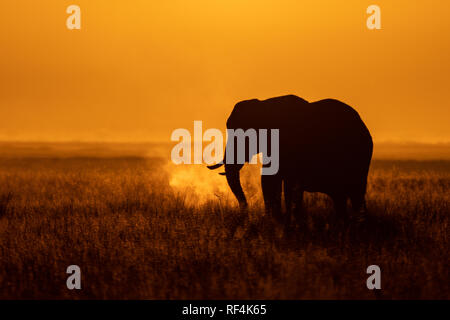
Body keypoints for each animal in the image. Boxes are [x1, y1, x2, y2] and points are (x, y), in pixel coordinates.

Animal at [207, 95, 372, 225]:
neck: (265, 106)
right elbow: (269, 180)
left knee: (355, 192)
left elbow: (285, 185)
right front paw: (278, 223)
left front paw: (284, 224)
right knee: (342, 196)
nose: (246, 214)